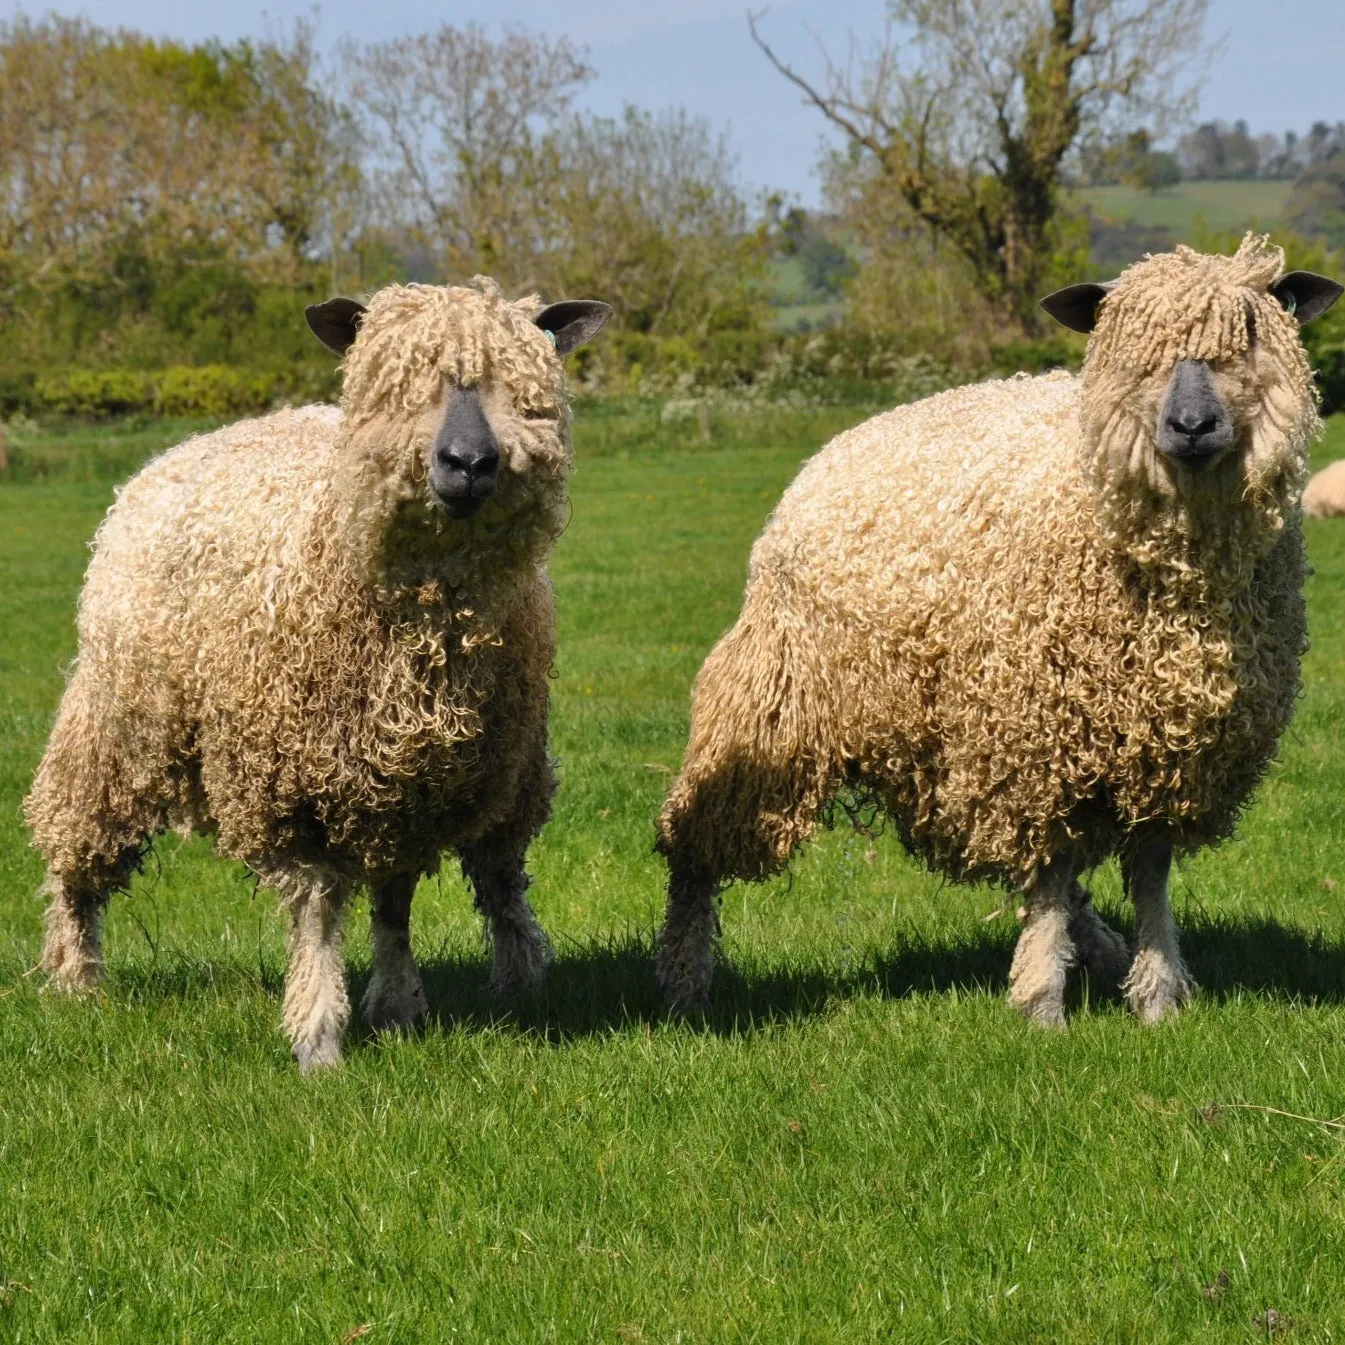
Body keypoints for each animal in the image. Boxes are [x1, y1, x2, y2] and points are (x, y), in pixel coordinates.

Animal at [23, 275, 613, 1070]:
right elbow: (317, 911)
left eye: (521, 384)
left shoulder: (418, 780)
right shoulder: (289, 784)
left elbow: (395, 902)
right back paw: (76, 977)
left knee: (495, 875)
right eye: (395, 383)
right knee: (77, 845)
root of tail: (183, 449)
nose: (468, 462)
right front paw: (318, 1036)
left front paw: (397, 1008)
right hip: (119, 720)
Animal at [656, 234, 1339, 1027]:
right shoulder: (1035, 737)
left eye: (1250, 333)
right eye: (1129, 344)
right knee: (693, 843)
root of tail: (825, 455)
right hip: (776, 705)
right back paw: (684, 981)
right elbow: (1048, 875)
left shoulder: (1164, 746)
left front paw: (1157, 994)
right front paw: (1043, 1001)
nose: (1191, 426)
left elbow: (1148, 874)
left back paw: (1100, 944)